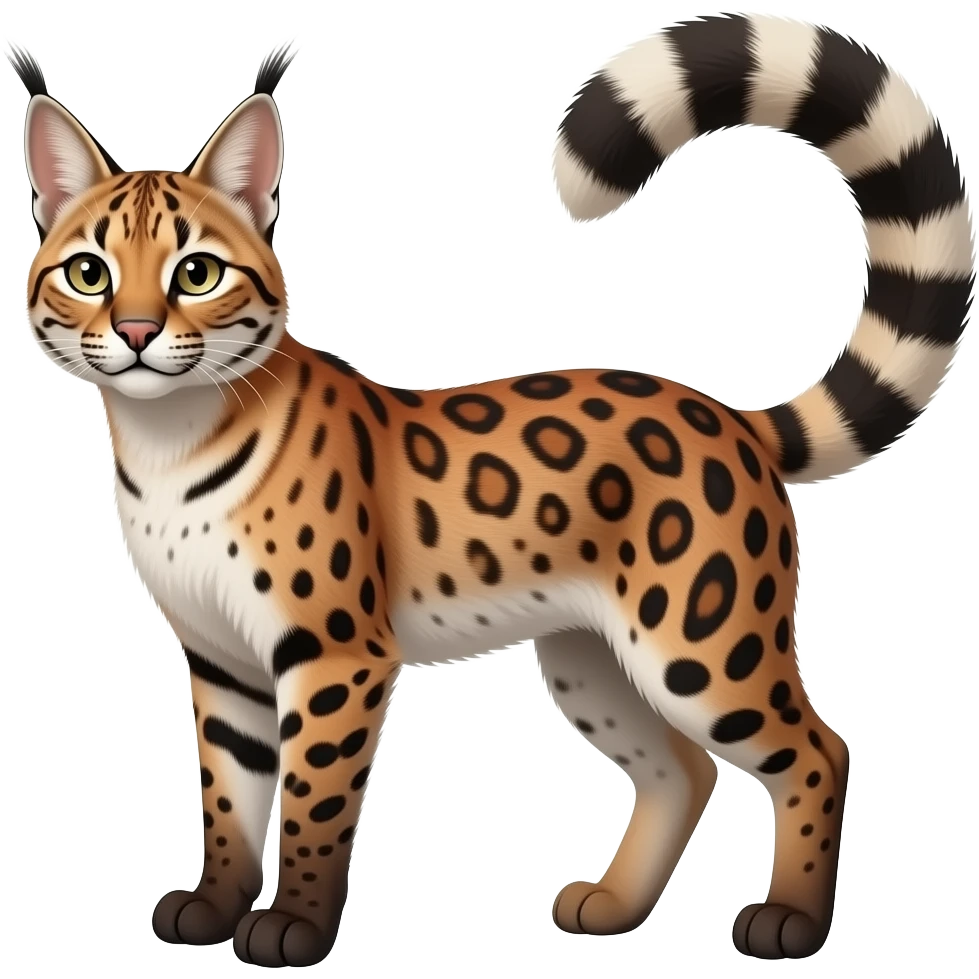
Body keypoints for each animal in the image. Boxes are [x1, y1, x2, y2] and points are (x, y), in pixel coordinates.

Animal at [5, 14, 975, 967]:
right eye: (89, 273)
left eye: (196, 273)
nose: (136, 331)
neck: (167, 443)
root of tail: (731, 416)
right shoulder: (220, 659)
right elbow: (228, 798)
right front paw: (214, 904)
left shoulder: (334, 654)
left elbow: (314, 798)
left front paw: (294, 927)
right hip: (588, 656)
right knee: (681, 767)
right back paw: (615, 904)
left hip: (702, 642)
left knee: (817, 749)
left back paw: (792, 919)